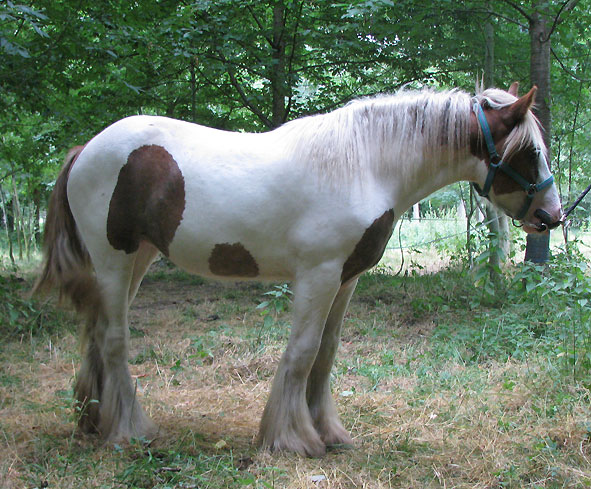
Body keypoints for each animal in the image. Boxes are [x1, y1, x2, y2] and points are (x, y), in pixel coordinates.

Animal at [33, 82, 564, 456]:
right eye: (529, 151)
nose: (553, 216)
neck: (366, 166)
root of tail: (84, 151)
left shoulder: (346, 279)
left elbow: (326, 354)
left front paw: (328, 431)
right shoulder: (319, 274)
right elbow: (303, 352)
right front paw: (292, 438)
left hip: (138, 258)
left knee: (97, 335)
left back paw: (93, 420)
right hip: (114, 260)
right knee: (114, 340)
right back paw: (129, 432)